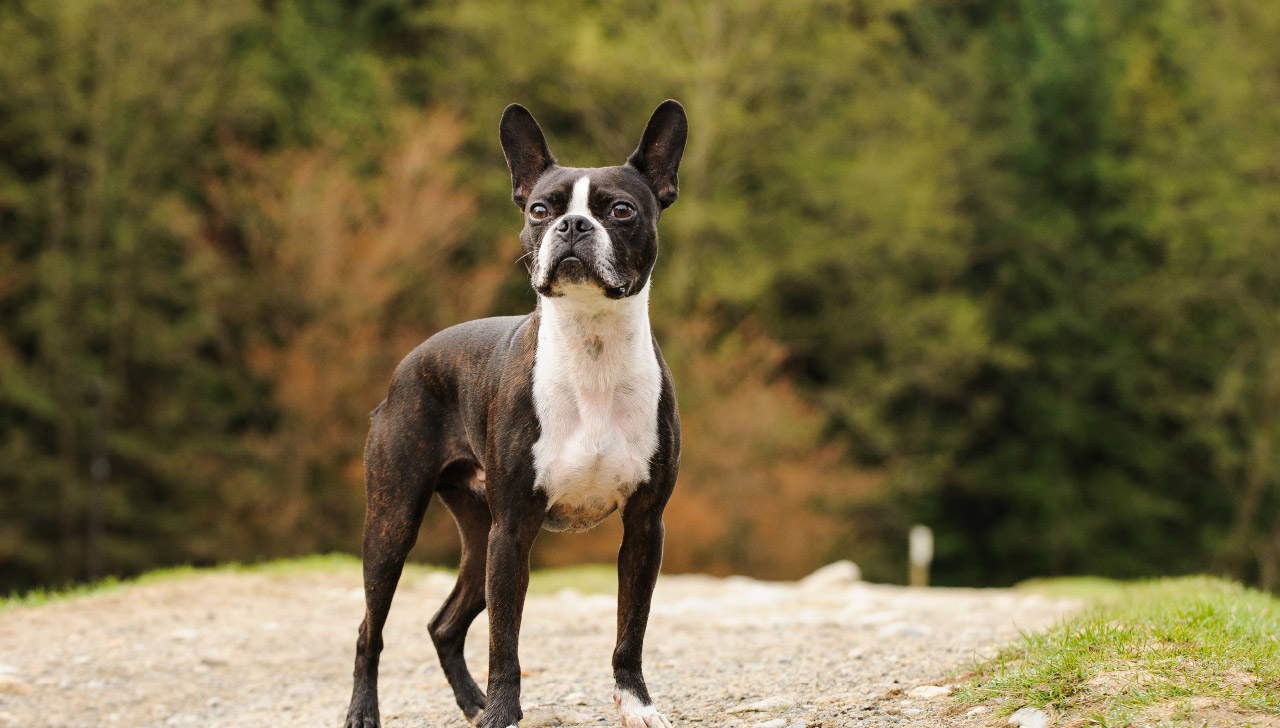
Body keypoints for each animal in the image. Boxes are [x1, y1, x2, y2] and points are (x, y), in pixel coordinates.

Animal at [340, 101, 680, 726]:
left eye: (621, 210)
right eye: (540, 210)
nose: (573, 226)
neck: (591, 346)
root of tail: (407, 366)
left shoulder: (645, 527)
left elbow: (631, 630)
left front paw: (636, 704)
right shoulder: (515, 530)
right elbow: (506, 639)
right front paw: (504, 712)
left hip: (480, 536)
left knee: (443, 625)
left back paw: (471, 704)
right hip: (395, 523)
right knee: (369, 629)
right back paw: (365, 713)